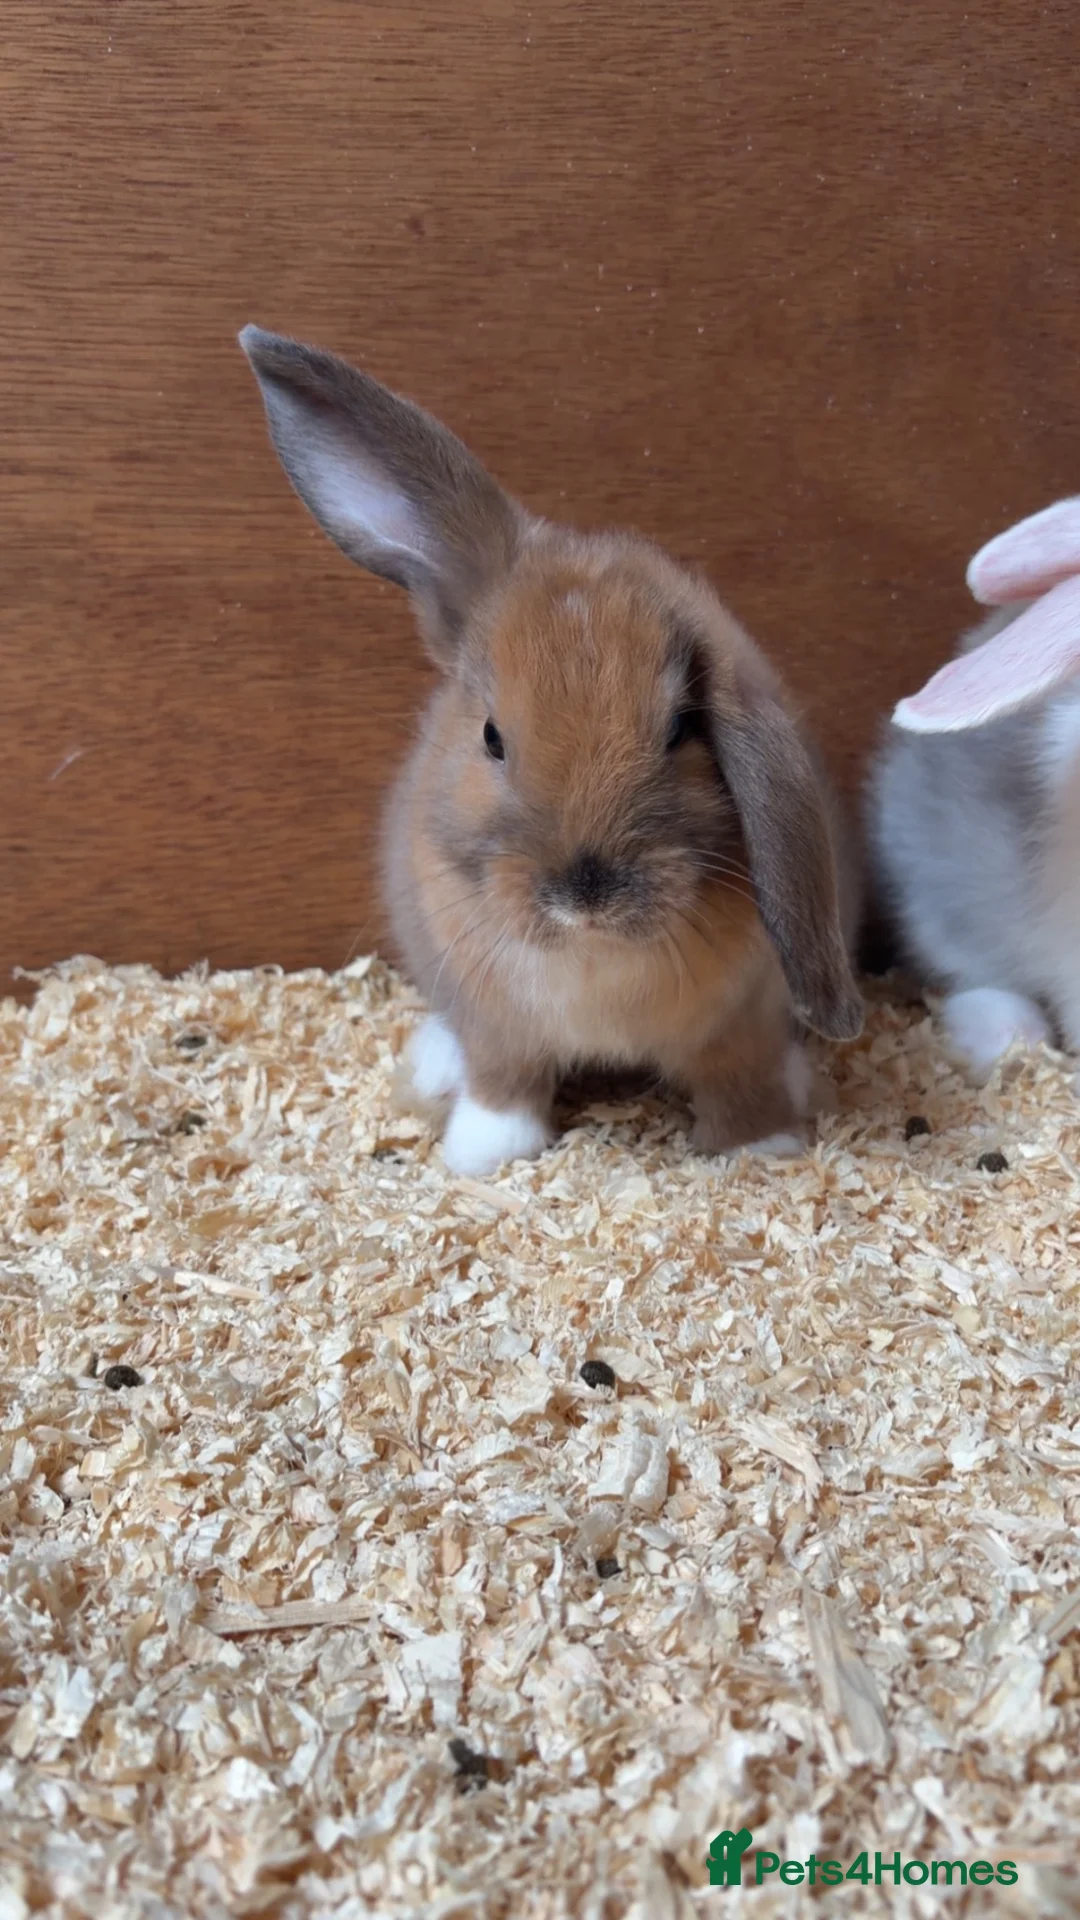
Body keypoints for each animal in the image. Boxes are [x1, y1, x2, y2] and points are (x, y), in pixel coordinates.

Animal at [239, 324, 863, 1177]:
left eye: (681, 728)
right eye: (491, 736)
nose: (585, 891)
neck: (592, 956)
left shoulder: (743, 1025)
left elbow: (742, 1083)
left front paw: (761, 1146)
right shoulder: (496, 1024)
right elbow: (504, 1082)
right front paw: (481, 1153)